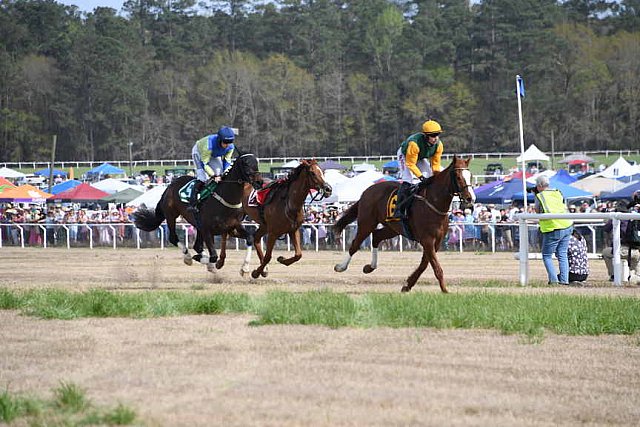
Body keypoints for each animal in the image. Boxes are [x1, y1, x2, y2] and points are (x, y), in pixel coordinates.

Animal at [132, 152, 262, 272]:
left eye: (256, 163)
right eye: (245, 164)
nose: (259, 182)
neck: (225, 199)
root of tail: (170, 185)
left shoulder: (231, 228)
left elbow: (250, 238)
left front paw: (245, 267)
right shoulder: (207, 230)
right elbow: (213, 256)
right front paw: (203, 260)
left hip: (197, 225)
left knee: (197, 246)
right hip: (171, 215)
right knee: (174, 238)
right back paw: (188, 257)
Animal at [336, 156, 476, 294]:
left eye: (470, 175)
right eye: (458, 176)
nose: (470, 198)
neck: (433, 203)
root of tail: (366, 191)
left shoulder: (437, 240)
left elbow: (424, 264)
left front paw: (408, 285)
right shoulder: (427, 240)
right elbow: (436, 267)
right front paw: (445, 290)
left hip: (393, 228)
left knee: (376, 236)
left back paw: (370, 267)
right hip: (367, 223)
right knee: (355, 244)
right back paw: (341, 267)